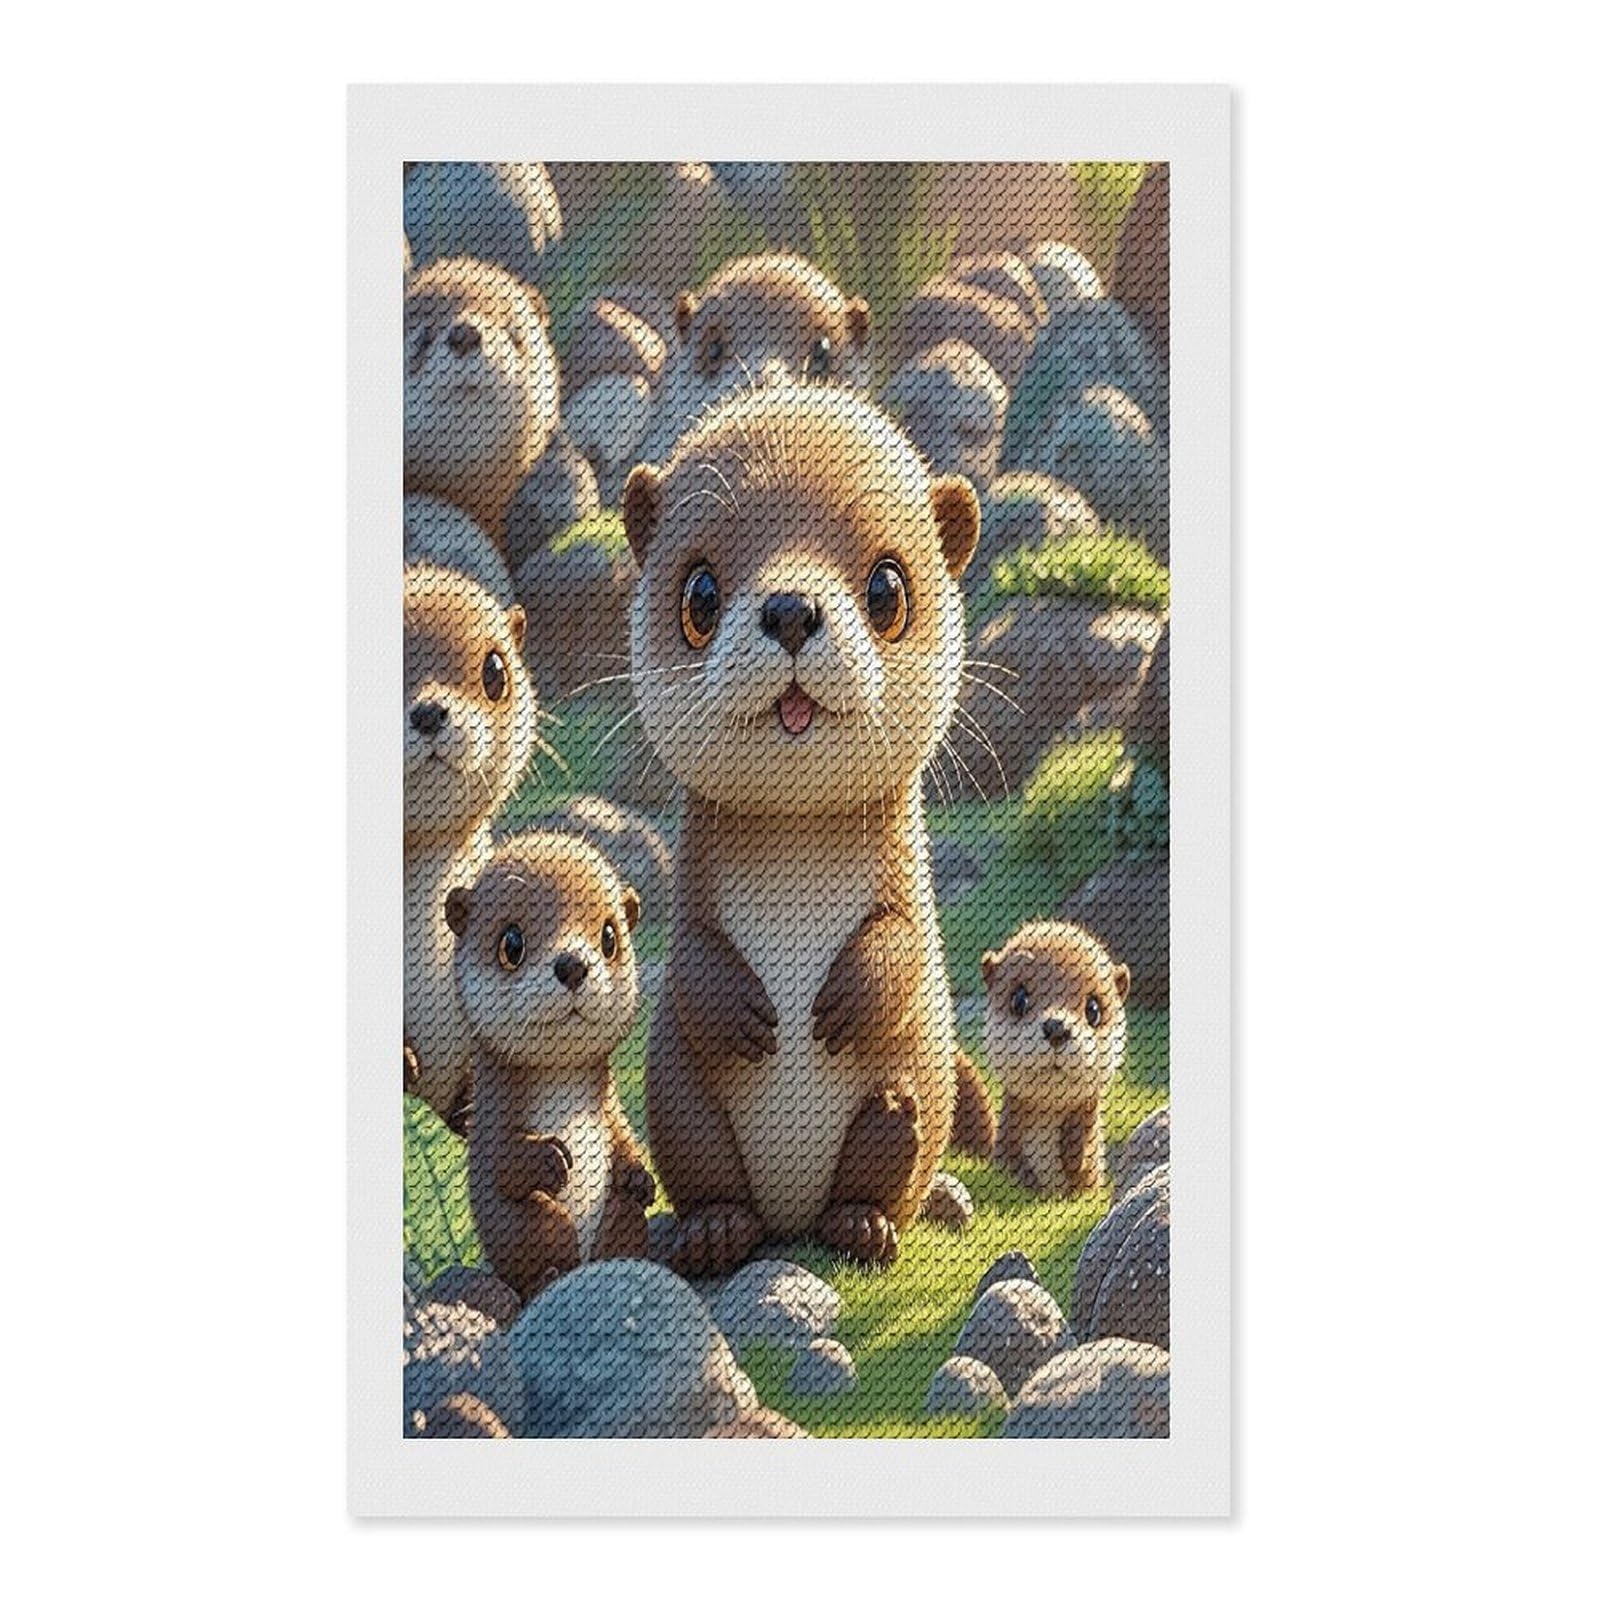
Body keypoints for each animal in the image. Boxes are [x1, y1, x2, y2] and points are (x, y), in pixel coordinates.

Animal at [444, 834, 654, 1299]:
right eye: (512, 944)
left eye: (609, 938)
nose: (573, 964)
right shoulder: (490, 1109)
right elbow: (499, 1159)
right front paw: (550, 1160)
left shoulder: (609, 1106)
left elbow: (623, 1135)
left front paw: (642, 1179)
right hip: (536, 1221)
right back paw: (549, 1279)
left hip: (615, 1219)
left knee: (623, 1219)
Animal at [622, 385, 994, 1275]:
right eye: (700, 596)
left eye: (888, 589)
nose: (791, 608)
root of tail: (788, 1219)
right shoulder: (692, 889)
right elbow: (685, 952)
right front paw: (743, 1011)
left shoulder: (904, 881)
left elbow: (908, 938)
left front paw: (850, 997)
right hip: (680, 1103)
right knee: (703, 1162)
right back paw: (716, 1232)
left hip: (902, 1099)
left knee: (892, 1132)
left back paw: (866, 1226)